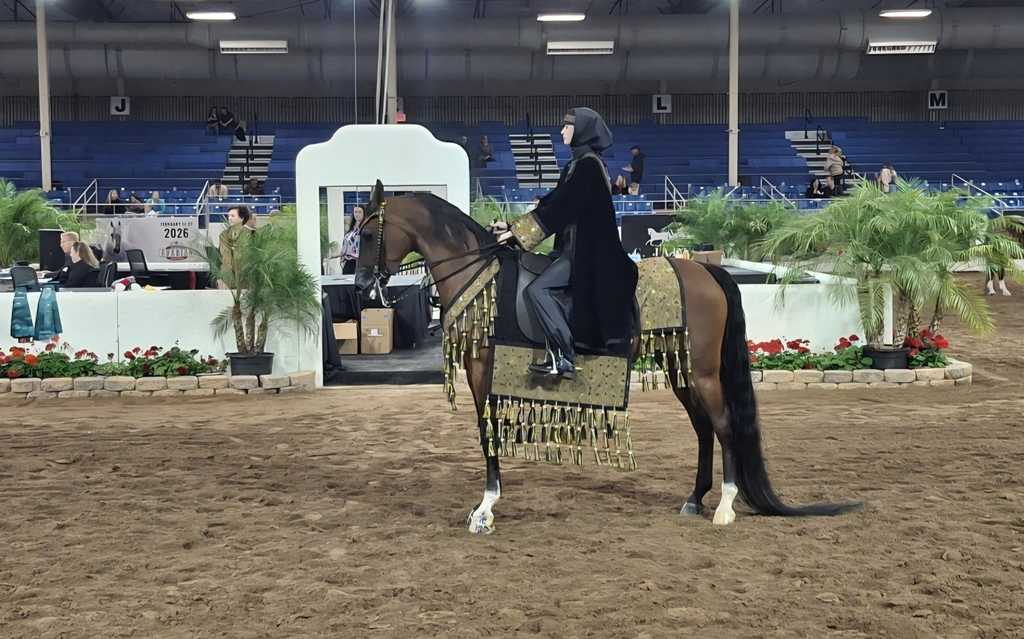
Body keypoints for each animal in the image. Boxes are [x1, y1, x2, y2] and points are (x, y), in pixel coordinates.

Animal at [353, 180, 860, 534]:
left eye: (368, 233)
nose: (359, 286)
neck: (481, 275)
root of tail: (707, 271)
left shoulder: (482, 373)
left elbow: (487, 436)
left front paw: (485, 509)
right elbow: (487, 435)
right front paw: (484, 507)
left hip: (704, 372)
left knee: (723, 426)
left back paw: (725, 507)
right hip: (679, 369)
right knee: (703, 429)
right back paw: (695, 500)